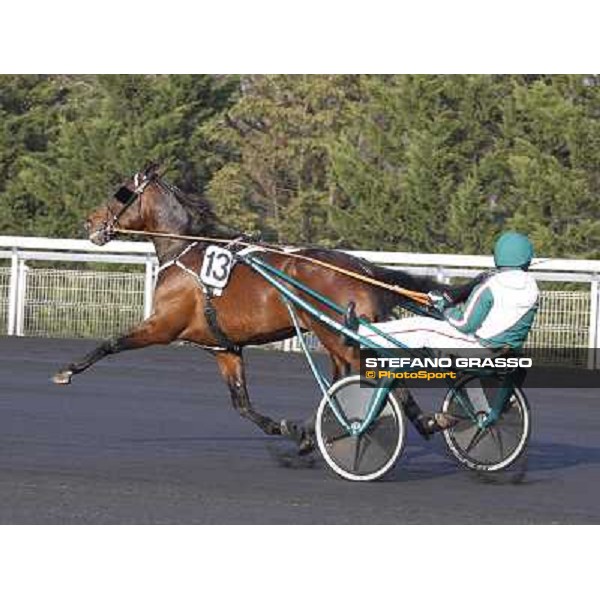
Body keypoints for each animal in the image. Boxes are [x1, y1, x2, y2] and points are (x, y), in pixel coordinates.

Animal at [54, 163, 480, 450]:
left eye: (121, 192)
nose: (89, 222)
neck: (185, 250)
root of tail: (360, 266)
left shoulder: (163, 325)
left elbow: (111, 343)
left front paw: (66, 370)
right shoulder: (223, 347)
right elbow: (241, 403)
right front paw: (286, 430)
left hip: (336, 333)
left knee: (363, 374)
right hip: (338, 334)